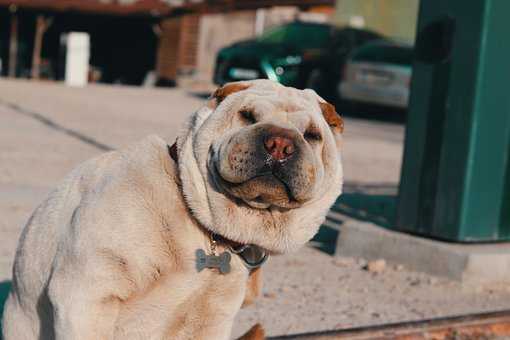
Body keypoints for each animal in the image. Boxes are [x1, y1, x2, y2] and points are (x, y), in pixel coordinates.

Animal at [1, 79, 342, 340]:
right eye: (247, 116)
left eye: (312, 135)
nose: (280, 144)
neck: (205, 228)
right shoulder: (85, 296)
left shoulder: (213, 319)